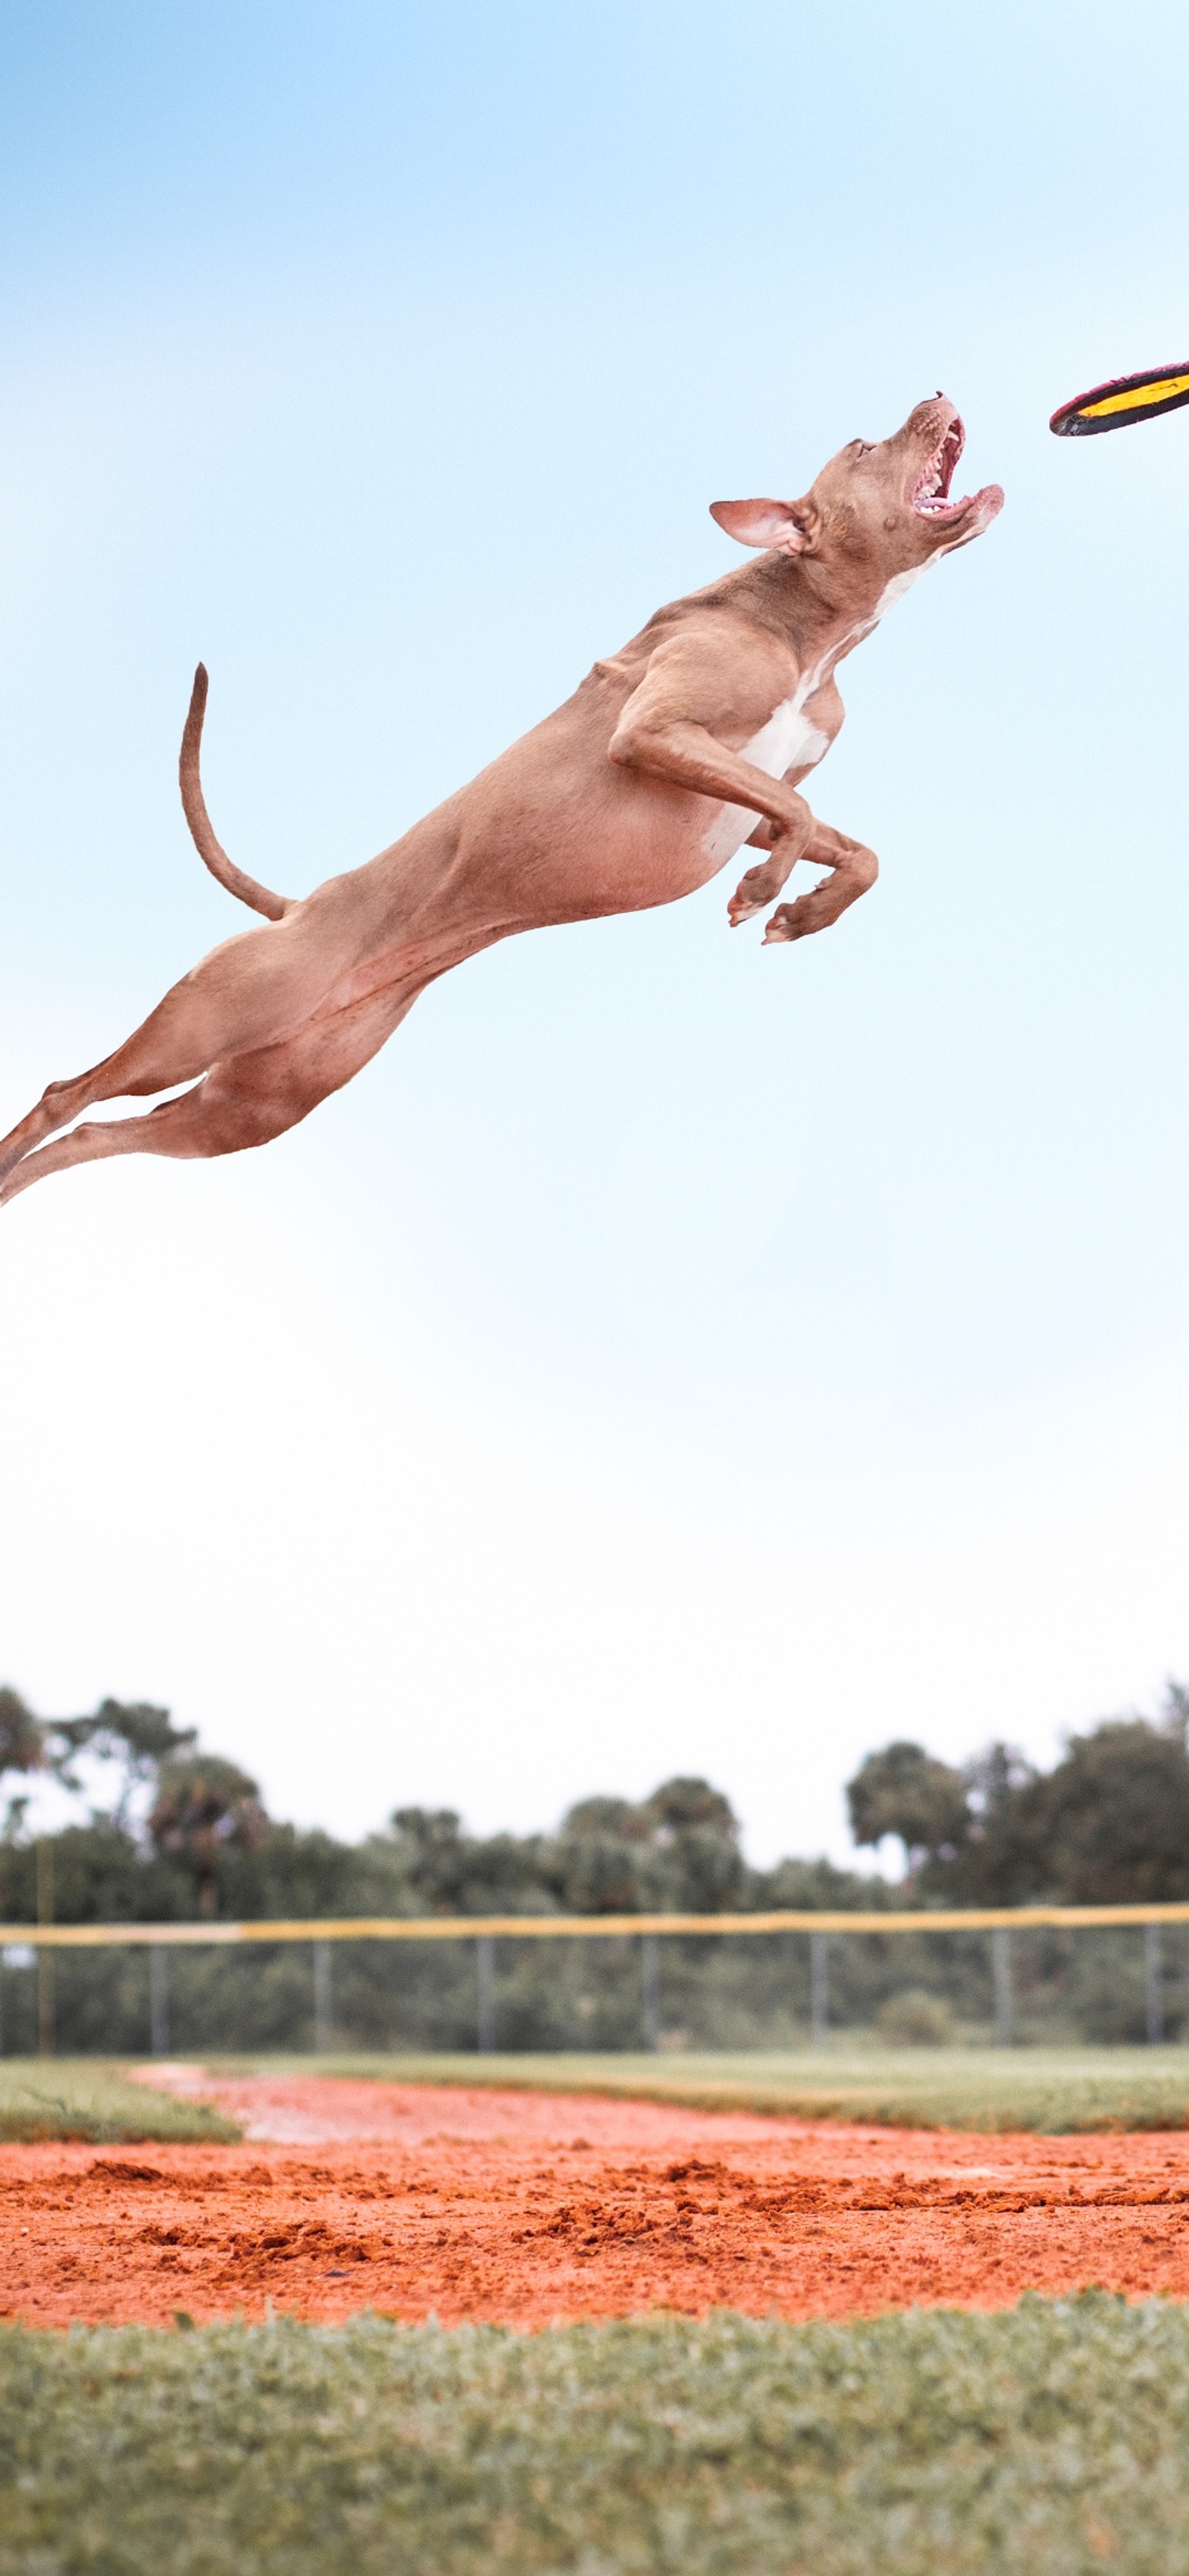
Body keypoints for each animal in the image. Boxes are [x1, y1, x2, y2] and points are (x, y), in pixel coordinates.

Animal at [0, 399, 995, 1205]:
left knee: (94, 1134)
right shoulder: (653, 735)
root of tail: (299, 908)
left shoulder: (747, 799)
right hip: (203, 1023)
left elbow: (851, 846)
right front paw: (764, 894)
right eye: (863, 445)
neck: (814, 629)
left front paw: (804, 910)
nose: (936, 390)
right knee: (67, 1094)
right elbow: (794, 819)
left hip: (242, 1109)